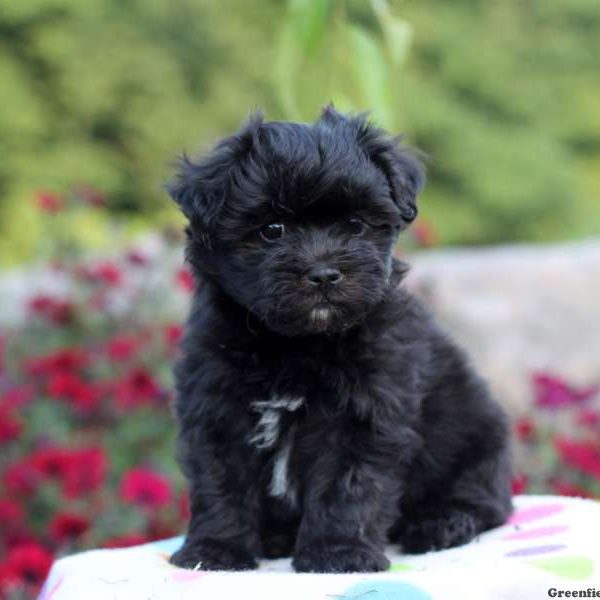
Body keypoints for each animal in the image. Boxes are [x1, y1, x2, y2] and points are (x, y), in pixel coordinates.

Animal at [168, 106, 510, 572]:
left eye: (355, 225)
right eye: (272, 229)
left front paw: (338, 552)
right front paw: (214, 550)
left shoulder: (363, 413)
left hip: (475, 434)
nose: (325, 274)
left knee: (485, 500)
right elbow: (221, 483)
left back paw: (442, 524)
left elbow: (348, 486)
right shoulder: (216, 407)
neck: (294, 343)